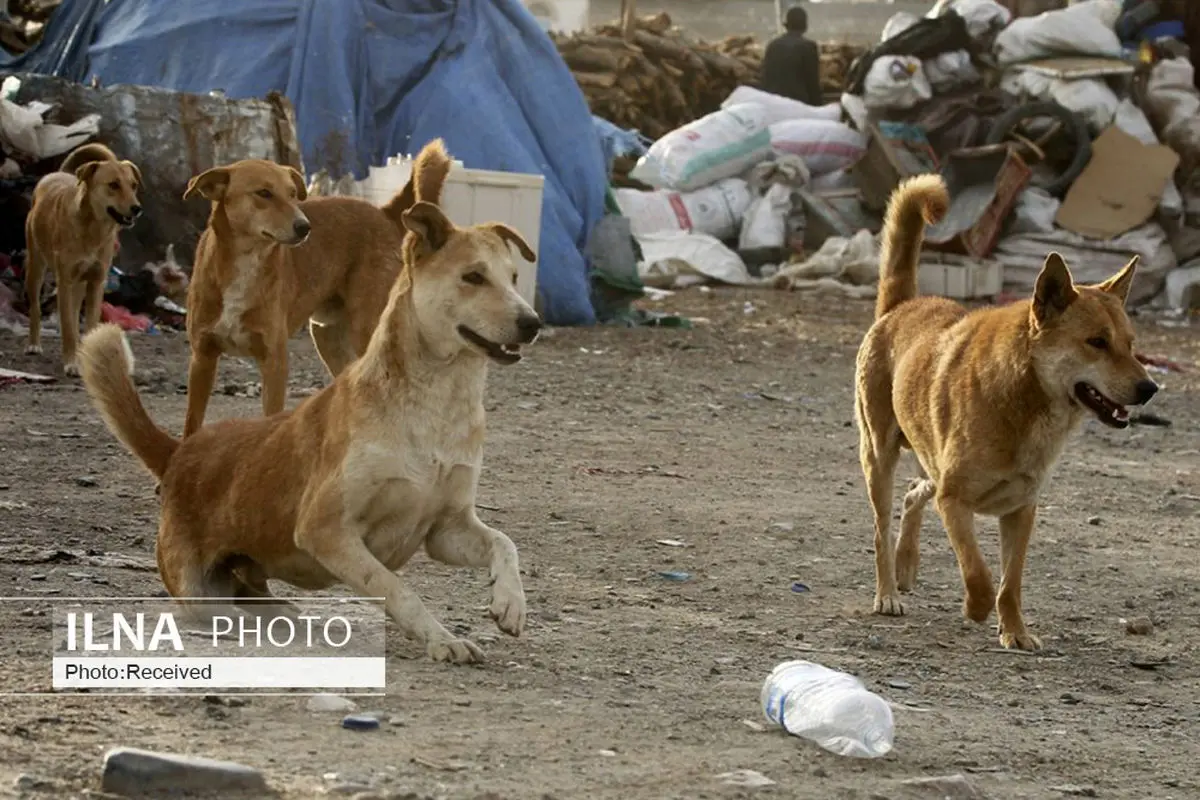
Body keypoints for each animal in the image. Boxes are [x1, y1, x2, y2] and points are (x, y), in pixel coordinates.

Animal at [23, 143, 142, 376]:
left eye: (133, 185)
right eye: (113, 185)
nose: (137, 208)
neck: (94, 230)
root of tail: (57, 173)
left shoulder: (96, 282)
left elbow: (90, 325)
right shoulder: (65, 282)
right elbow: (68, 327)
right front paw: (71, 363)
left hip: (79, 283)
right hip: (36, 267)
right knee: (36, 307)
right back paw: (33, 344)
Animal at [177, 149, 441, 438]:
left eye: (293, 193)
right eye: (263, 193)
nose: (304, 226)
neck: (246, 261)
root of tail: (383, 212)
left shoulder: (275, 361)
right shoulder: (202, 358)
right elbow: (191, 422)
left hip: (366, 329)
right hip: (328, 337)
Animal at [859, 173, 1156, 652]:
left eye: (1131, 345)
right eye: (1096, 342)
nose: (1150, 389)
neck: (1026, 400)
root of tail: (900, 307)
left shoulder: (1021, 511)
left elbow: (1010, 582)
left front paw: (1015, 631)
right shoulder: (955, 501)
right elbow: (979, 574)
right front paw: (976, 609)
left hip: (928, 462)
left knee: (913, 492)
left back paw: (906, 565)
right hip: (879, 458)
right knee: (882, 527)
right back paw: (888, 591)